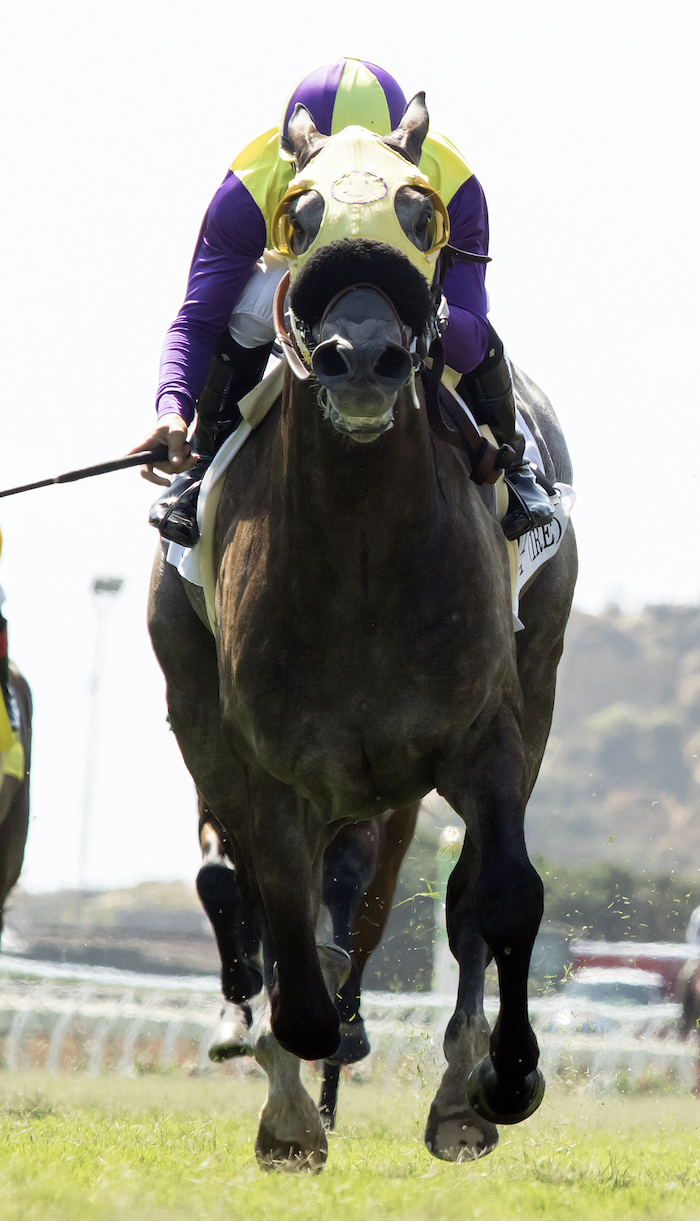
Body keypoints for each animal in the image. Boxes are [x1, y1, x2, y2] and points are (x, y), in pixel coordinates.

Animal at [145, 100, 574, 1167]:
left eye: (421, 214)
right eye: (298, 215)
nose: (366, 356)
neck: (365, 549)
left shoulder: (484, 732)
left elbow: (500, 894)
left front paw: (504, 1079)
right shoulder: (265, 760)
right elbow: (288, 945)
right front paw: (292, 1104)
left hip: (529, 686)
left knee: (451, 909)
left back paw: (458, 1088)